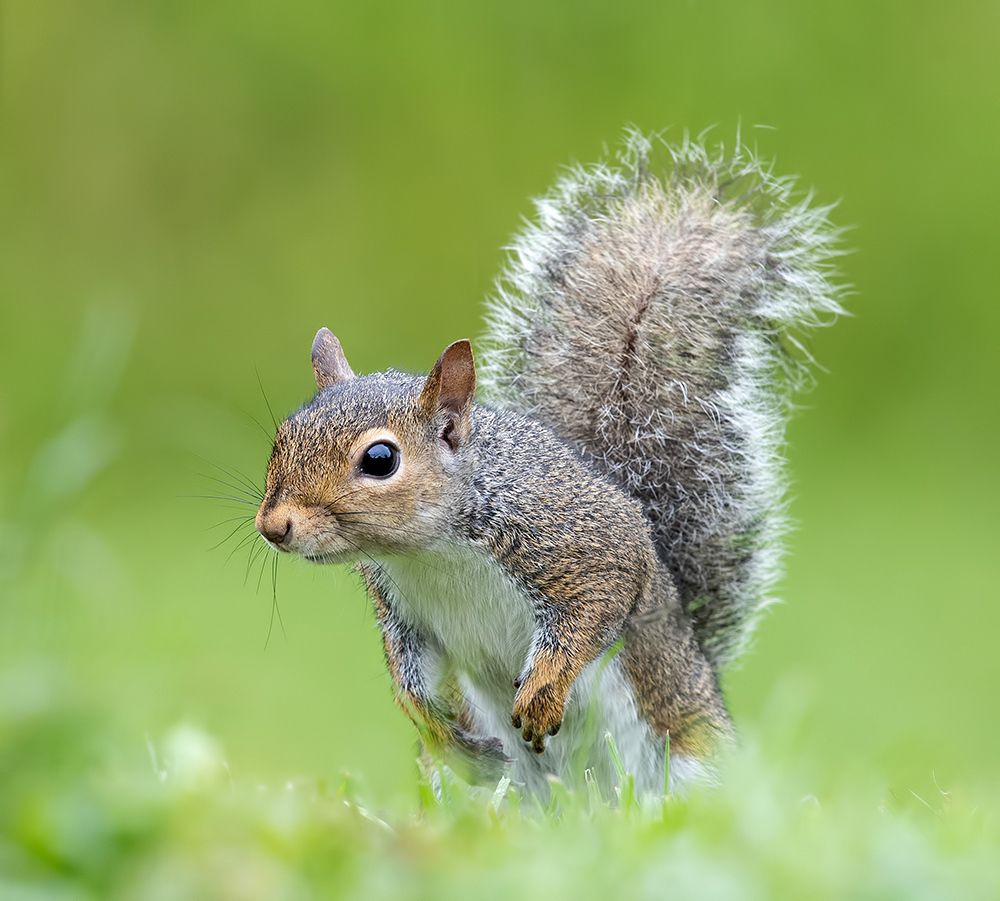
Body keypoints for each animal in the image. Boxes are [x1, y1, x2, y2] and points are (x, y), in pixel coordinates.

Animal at [253, 132, 843, 798]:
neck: (431, 550)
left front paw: (542, 693)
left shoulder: (580, 541)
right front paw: (434, 726)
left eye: (380, 459)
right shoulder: (401, 608)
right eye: (281, 437)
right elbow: (410, 675)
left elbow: (594, 609)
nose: (273, 526)